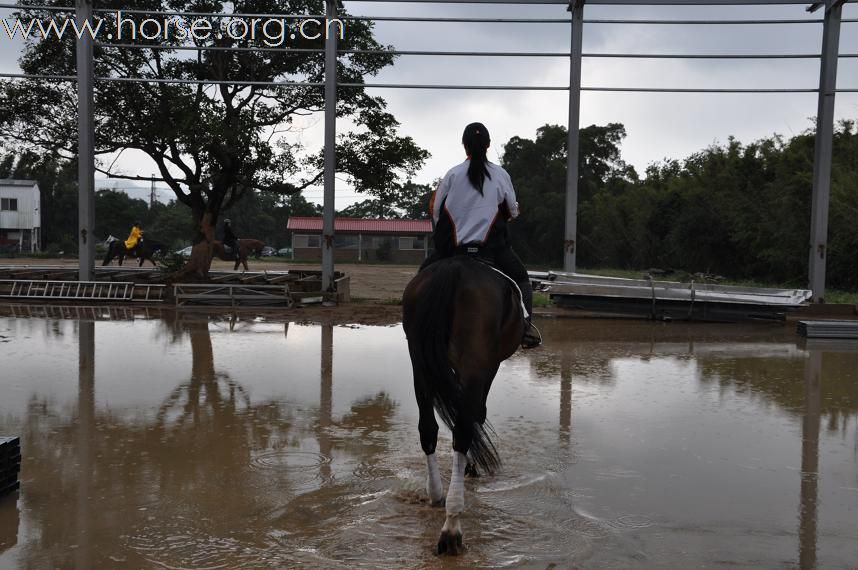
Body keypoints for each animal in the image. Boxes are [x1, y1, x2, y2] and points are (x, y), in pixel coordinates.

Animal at [402, 255, 528, 552]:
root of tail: (454, 267)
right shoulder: (488, 367)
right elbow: (476, 415)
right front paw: (472, 465)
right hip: (475, 362)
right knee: (462, 432)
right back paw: (452, 526)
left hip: (420, 364)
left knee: (428, 429)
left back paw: (436, 495)